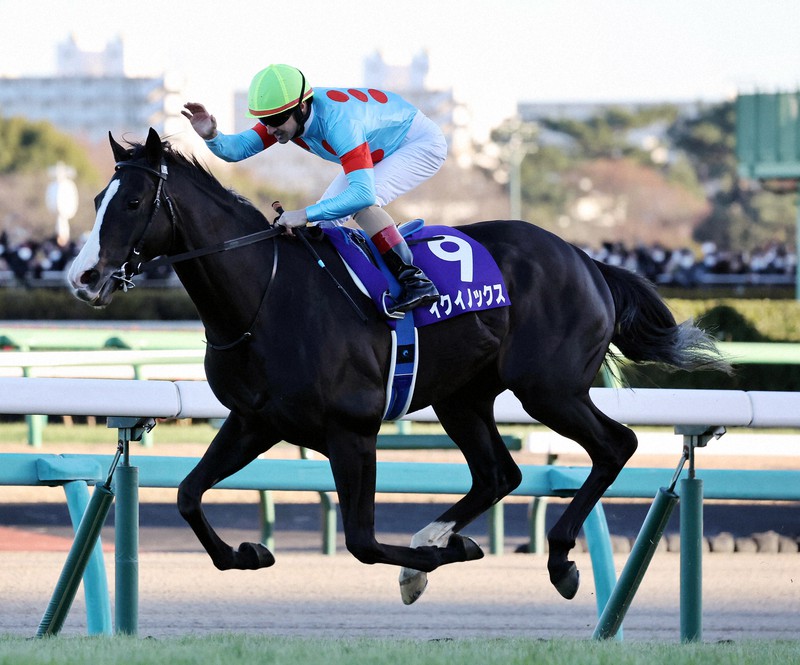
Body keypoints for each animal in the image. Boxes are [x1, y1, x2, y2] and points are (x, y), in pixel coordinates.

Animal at [68, 128, 729, 605]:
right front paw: (248, 553)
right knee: (500, 473)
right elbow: (187, 494)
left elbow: (362, 541)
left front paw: (443, 558)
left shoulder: (352, 432)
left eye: (132, 201)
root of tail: (586, 259)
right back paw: (438, 536)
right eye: (97, 200)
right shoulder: (256, 420)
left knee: (614, 445)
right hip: (464, 396)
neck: (266, 298)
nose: (82, 277)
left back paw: (558, 557)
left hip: (550, 388)